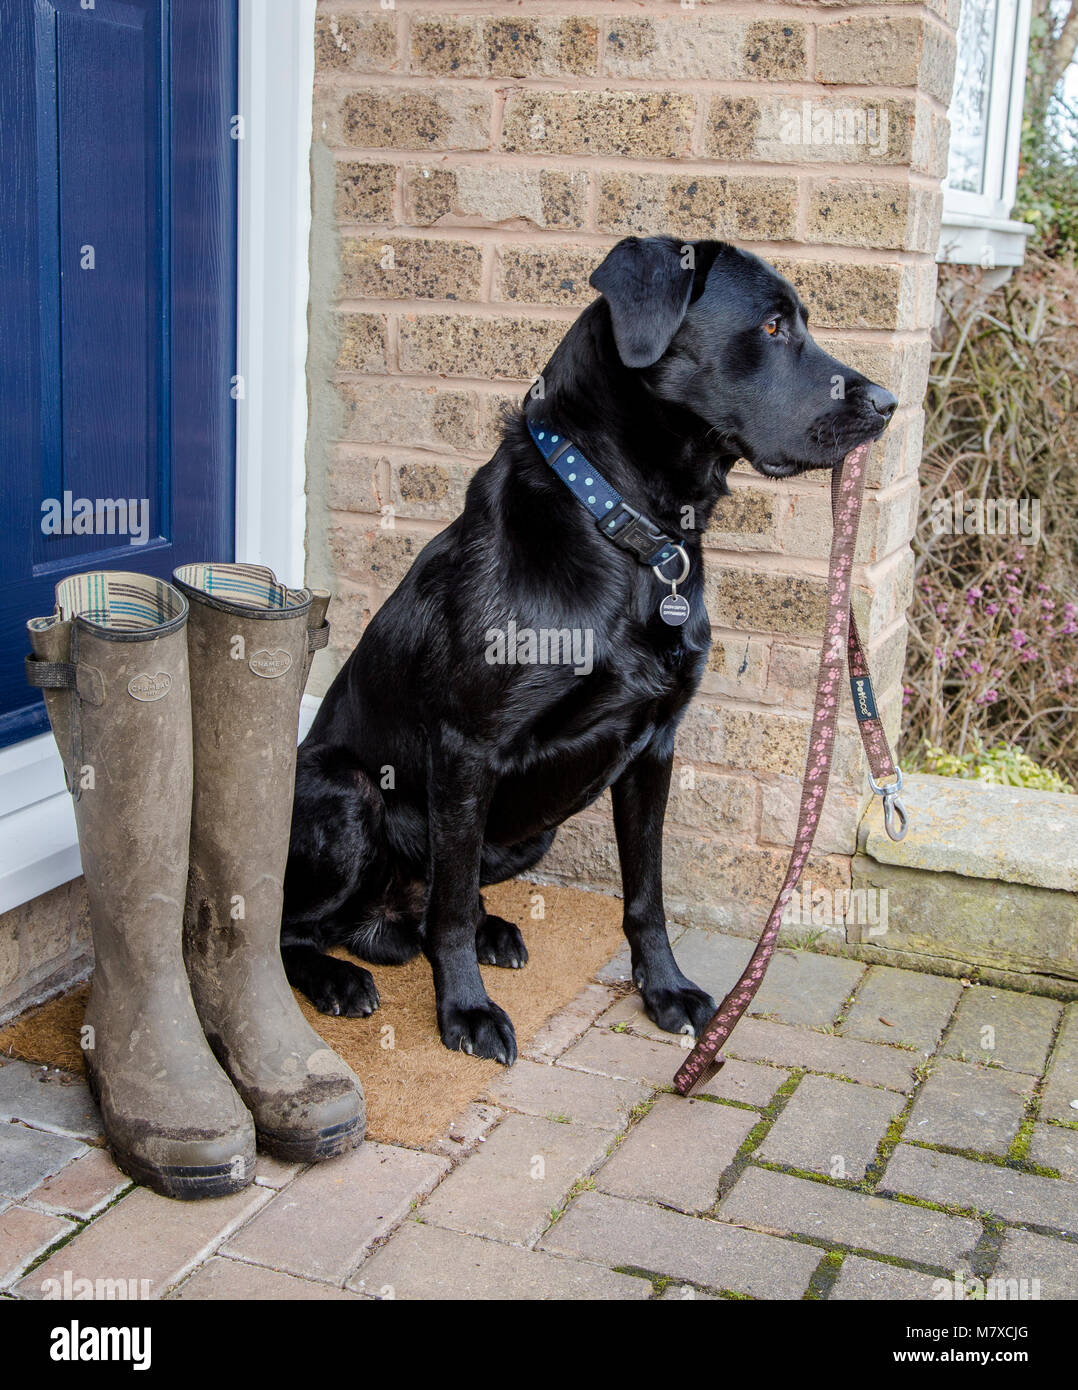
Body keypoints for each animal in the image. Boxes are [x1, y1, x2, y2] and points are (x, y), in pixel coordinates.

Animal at [277, 239, 894, 1061]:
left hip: (530, 832)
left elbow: (646, 894)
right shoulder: (466, 747)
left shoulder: (654, 744)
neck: (627, 530)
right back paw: (339, 977)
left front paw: (664, 990)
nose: (888, 404)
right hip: (351, 791)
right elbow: (448, 912)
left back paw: (482, 930)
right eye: (771, 325)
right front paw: (465, 1012)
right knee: (299, 928)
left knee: (428, 901)